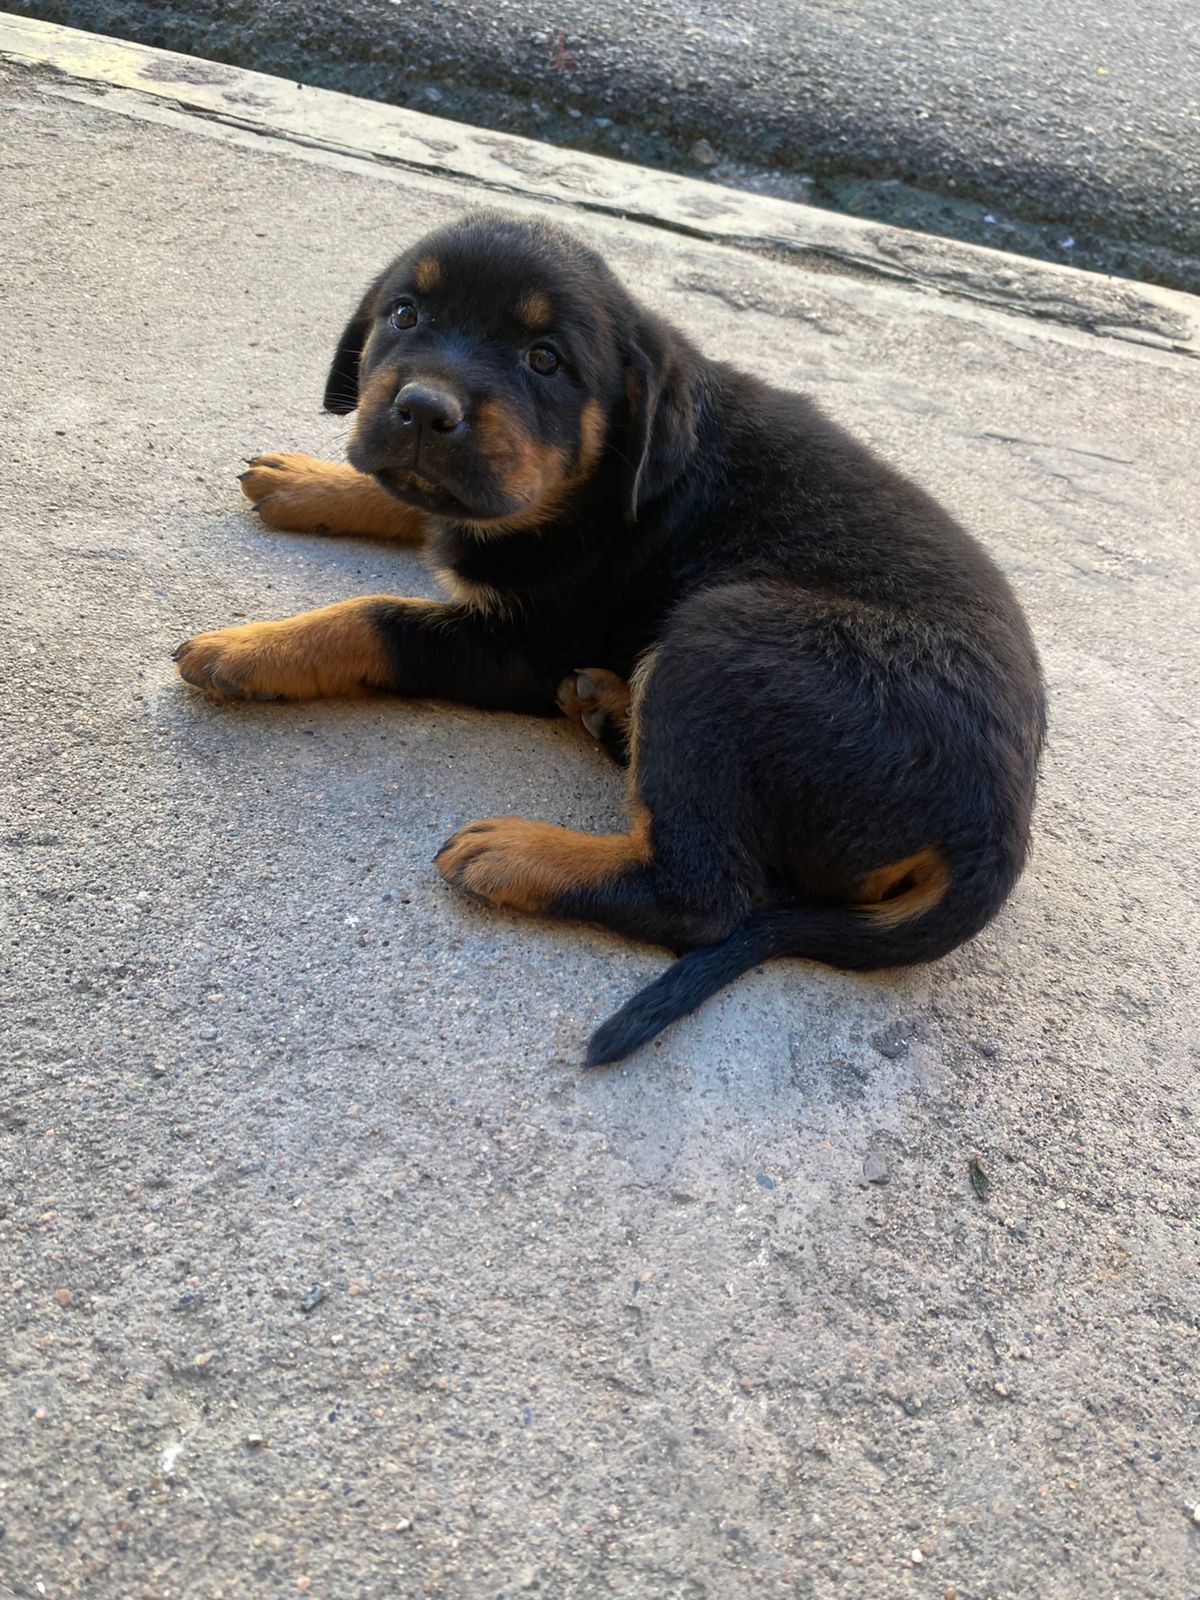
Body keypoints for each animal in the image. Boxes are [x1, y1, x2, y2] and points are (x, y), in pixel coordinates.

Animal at [173, 209, 1049, 1062]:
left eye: (545, 360)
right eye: (404, 314)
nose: (423, 409)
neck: (601, 478)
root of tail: (995, 837)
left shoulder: (524, 645)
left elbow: (373, 616)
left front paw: (250, 649)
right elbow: (413, 500)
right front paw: (308, 481)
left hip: (721, 633)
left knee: (702, 894)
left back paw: (522, 852)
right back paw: (608, 705)